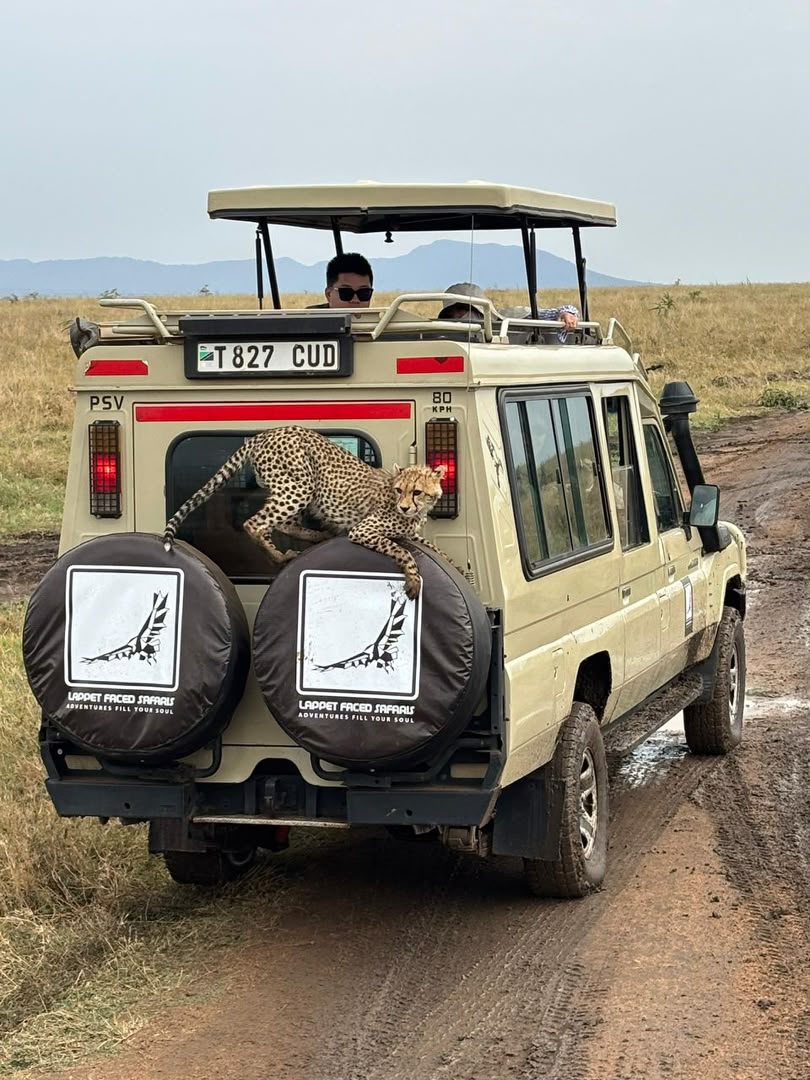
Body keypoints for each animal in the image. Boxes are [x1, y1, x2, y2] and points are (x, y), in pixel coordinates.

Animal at [162, 425, 450, 598]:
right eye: (399, 490)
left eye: (416, 492)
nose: (404, 506)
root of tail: (267, 432)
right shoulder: (363, 530)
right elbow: (401, 550)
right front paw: (413, 578)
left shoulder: (411, 533)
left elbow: (436, 549)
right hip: (301, 486)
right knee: (255, 524)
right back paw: (280, 556)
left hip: (299, 491)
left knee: (282, 524)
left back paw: (318, 536)